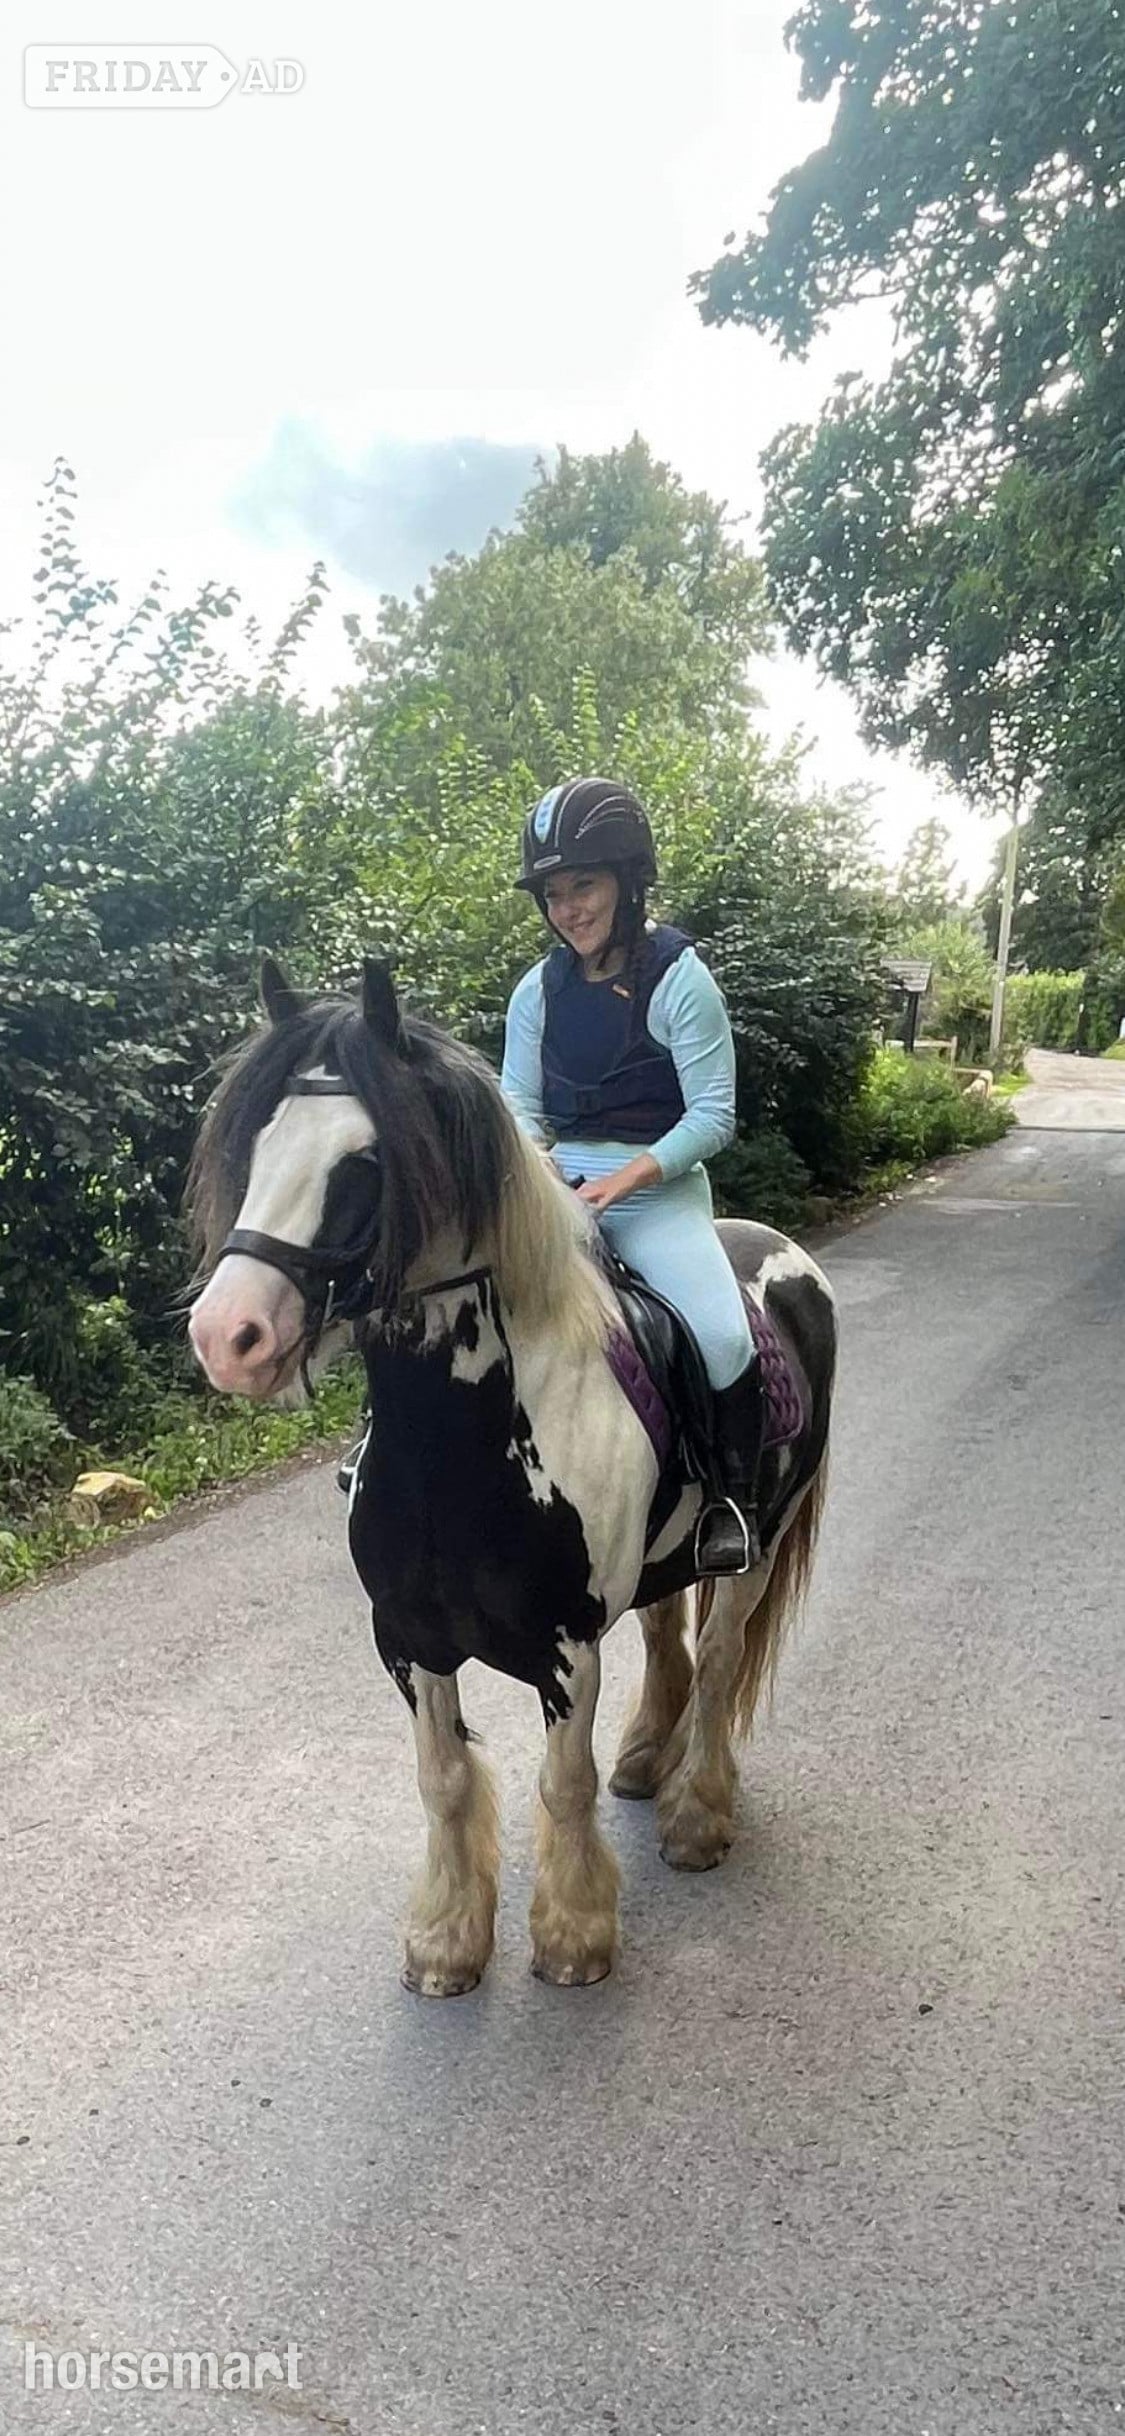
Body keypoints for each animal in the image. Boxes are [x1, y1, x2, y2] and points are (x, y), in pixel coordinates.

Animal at [187, 956, 837, 1997]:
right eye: (256, 1147)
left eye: (365, 1163)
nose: (228, 1336)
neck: (458, 1452)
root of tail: (784, 1255)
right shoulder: (407, 1641)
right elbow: (444, 1779)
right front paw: (446, 1941)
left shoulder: (566, 1650)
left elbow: (560, 1783)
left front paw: (573, 1936)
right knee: (667, 1635)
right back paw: (647, 1760)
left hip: (757, 1549)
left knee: (720, 1657)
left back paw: (697, 1815)